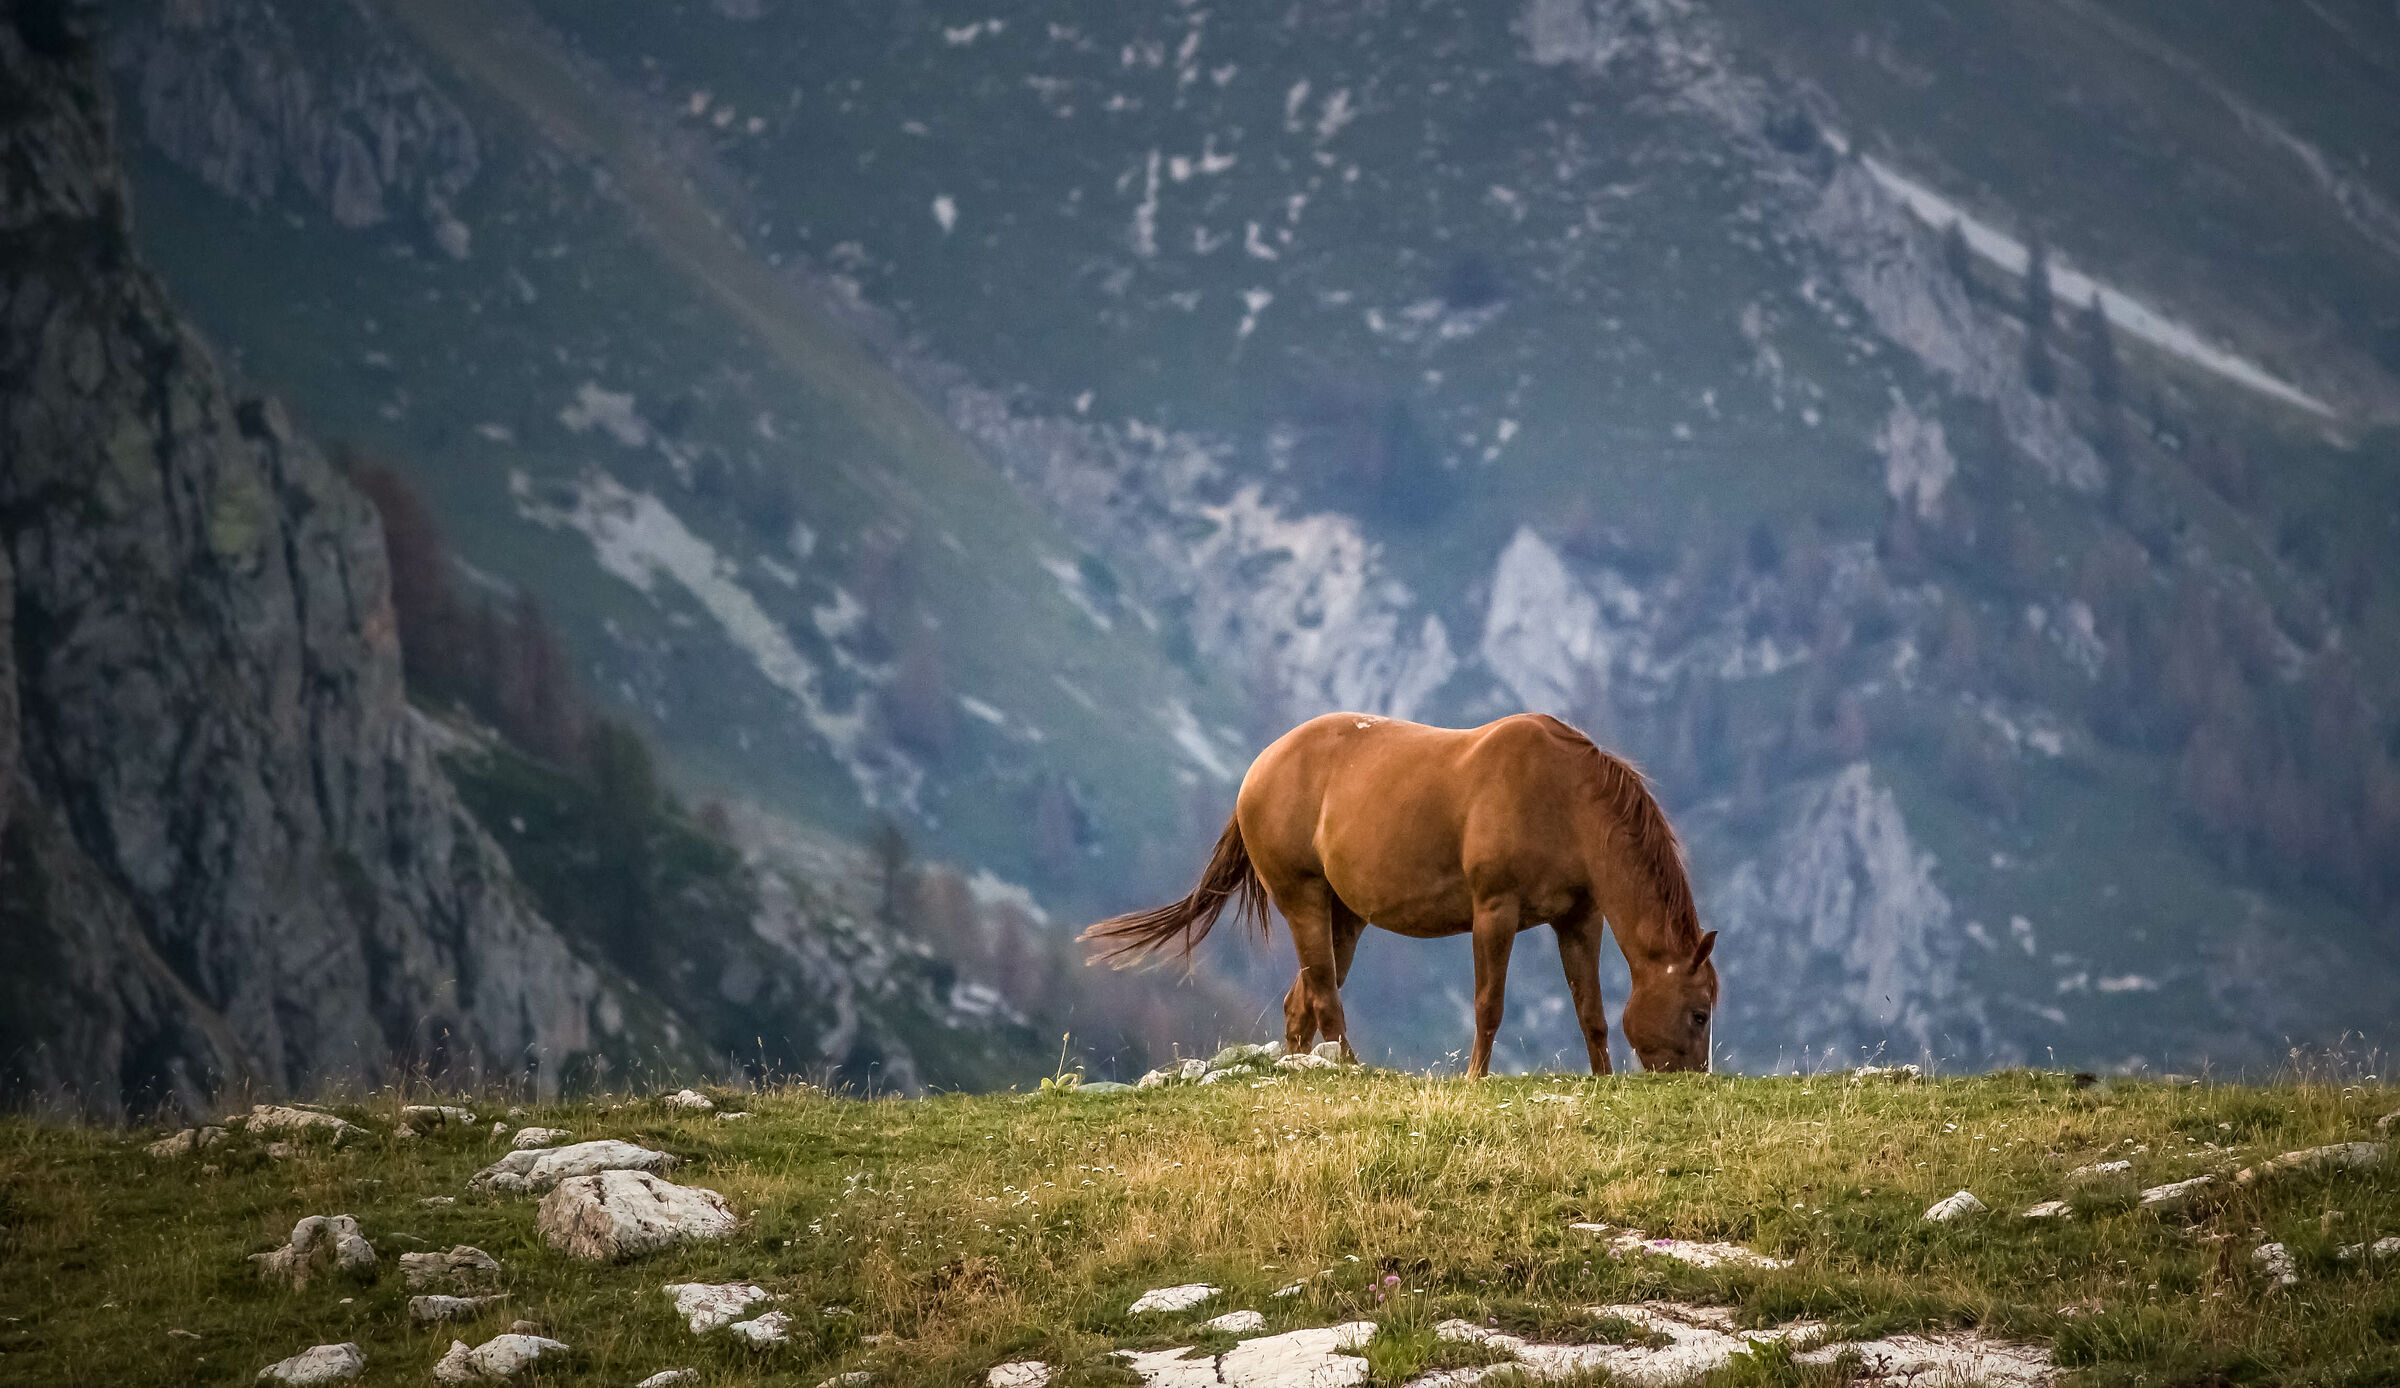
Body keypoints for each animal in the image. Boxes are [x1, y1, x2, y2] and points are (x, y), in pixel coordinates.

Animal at [1082, 711, 1717, 1077]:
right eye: (1699, 1012)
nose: (1692, 1080)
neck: (1562, 796)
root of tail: (1257, 771)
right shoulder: (1495, 912)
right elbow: (1489, 1005)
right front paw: (1475, 1079)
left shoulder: (1579, 920)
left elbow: (1593, 1012)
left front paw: (1602, 1080)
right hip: (1304, 901)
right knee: (1324, 998)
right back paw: (1352, 1070)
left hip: (1344, 918)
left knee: (1302, 1001)